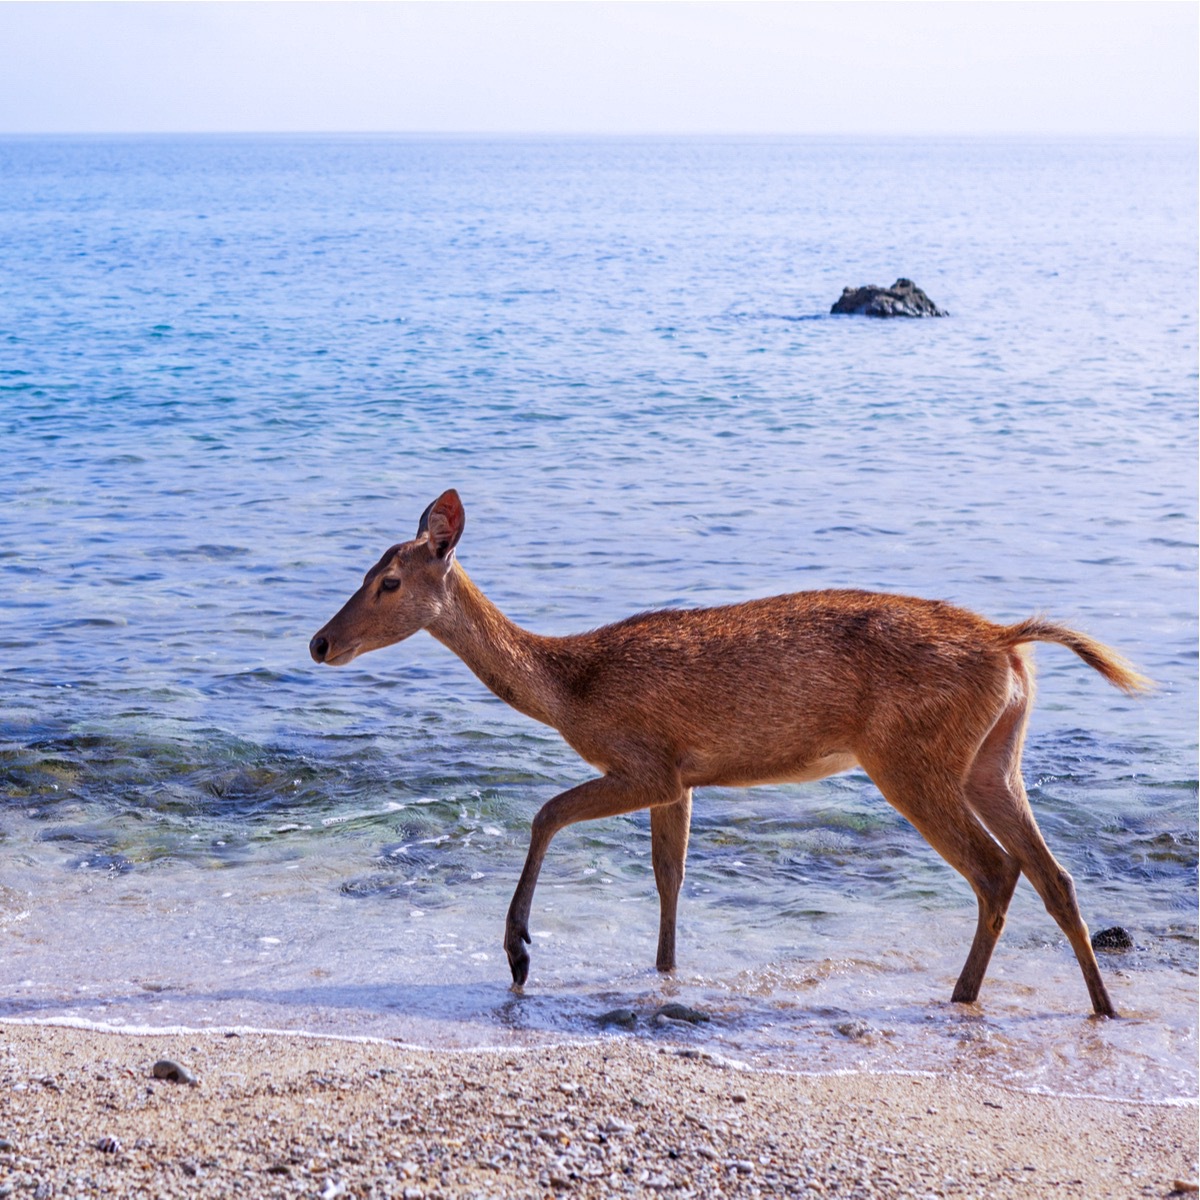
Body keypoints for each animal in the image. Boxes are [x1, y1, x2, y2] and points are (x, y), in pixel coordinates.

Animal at [312, 492, 1152, 1017]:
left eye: (390, 581)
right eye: (364, 570)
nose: (320, 642)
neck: (570, 687)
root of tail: (1009, 643)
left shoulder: (645, 759)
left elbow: (547, 812)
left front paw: (519, 951)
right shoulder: (681, 778)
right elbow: (670, 877)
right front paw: (662, 972)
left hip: (911, 757)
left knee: (995, 869)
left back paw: (963, 996)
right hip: (992, 758)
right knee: (1053, 873)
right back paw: (1102, 1006)